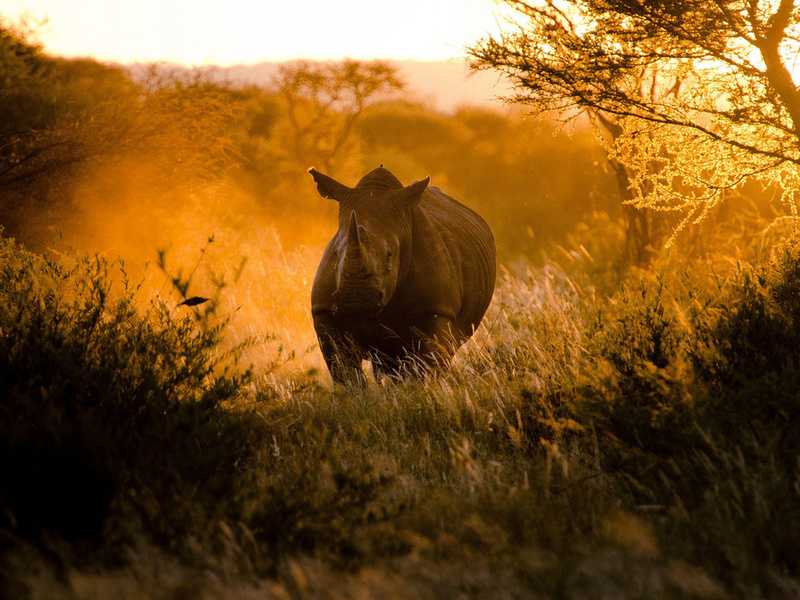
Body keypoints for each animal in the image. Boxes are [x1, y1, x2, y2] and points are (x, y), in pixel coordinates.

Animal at [309, 165, 496, 385]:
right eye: (337, 254)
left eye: (390, 255)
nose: (357, 298)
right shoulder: (324, 311)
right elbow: (344, 369)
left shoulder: (436, 309)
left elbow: (426, 364)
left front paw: (420, 390)